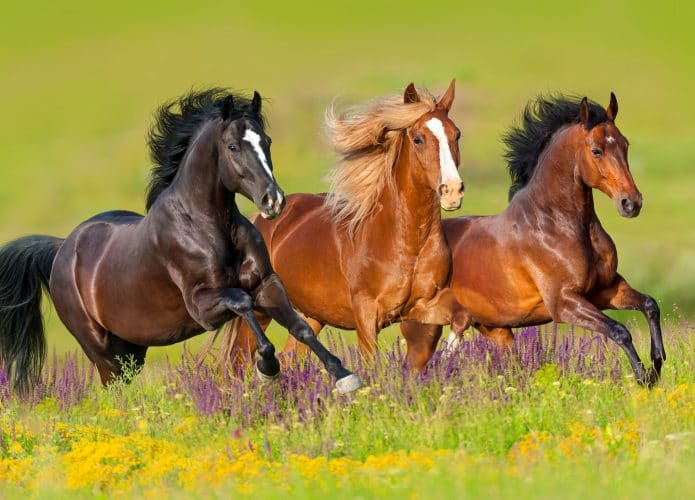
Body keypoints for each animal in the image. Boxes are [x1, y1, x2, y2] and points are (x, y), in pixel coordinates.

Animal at [0, 89, 364, 394]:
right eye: (233, 146)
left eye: (267, 141)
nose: (273, 200)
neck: (210, 228)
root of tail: (62, 248)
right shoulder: (203, 307)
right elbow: (243, 303)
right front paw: (268, 367)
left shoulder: (266, 283)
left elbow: (300, 326)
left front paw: (345, 377)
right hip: (100, 348)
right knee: (113, 388)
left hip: (131, 348)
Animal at [222, 82, 474, 364]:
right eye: (418, 138)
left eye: (456, 135)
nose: (452, 191)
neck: (407, 243)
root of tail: (260, 220)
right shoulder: (366, 314)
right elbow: (372, 362)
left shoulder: (424, 305)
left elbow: (460, 318)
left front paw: (446, 359)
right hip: (261, 308)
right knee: (238, 361)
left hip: (312, 314)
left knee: (290, 356)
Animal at [400, 94, 668, 386]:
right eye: (597, 150)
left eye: (625, 144)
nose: (631, 203)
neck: (555, 224)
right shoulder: (564, 303)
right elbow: (620, 330)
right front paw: (644, 377)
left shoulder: (605, 290)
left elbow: (650, 305)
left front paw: (657, 362)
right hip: (424, 329)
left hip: (495, 330)